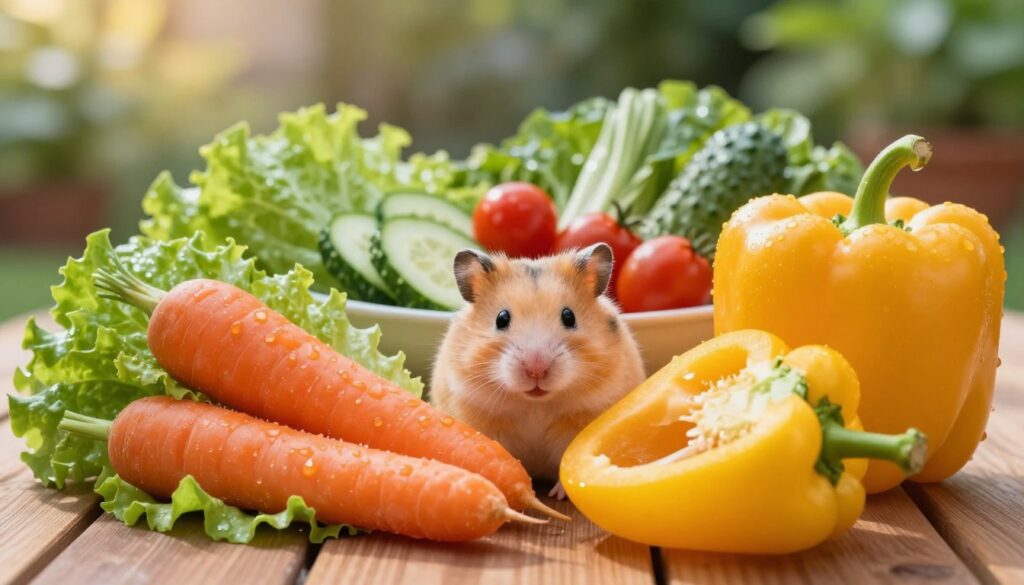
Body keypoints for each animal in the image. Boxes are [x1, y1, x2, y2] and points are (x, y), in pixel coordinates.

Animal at [430, 243, 646, 498]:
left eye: (569, 316)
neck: (535, 404)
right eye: (501, 319)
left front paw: (559, 494)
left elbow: (566, 461)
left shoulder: (580, 422)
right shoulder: (483, 420)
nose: (536, 370)